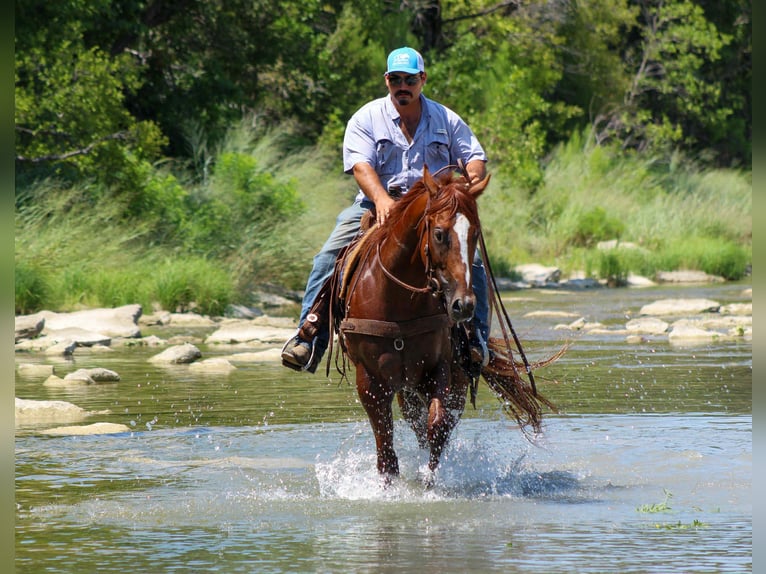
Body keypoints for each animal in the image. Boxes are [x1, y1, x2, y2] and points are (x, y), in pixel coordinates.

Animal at [329, 165, 557, 486]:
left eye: (475, 234)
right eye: (439, 234)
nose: (464, 305)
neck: (400, 300)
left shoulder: (438, 369)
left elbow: (437, 426)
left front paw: (429, 481)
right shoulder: (371, 381)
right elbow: (385, 449)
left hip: (452, 380)